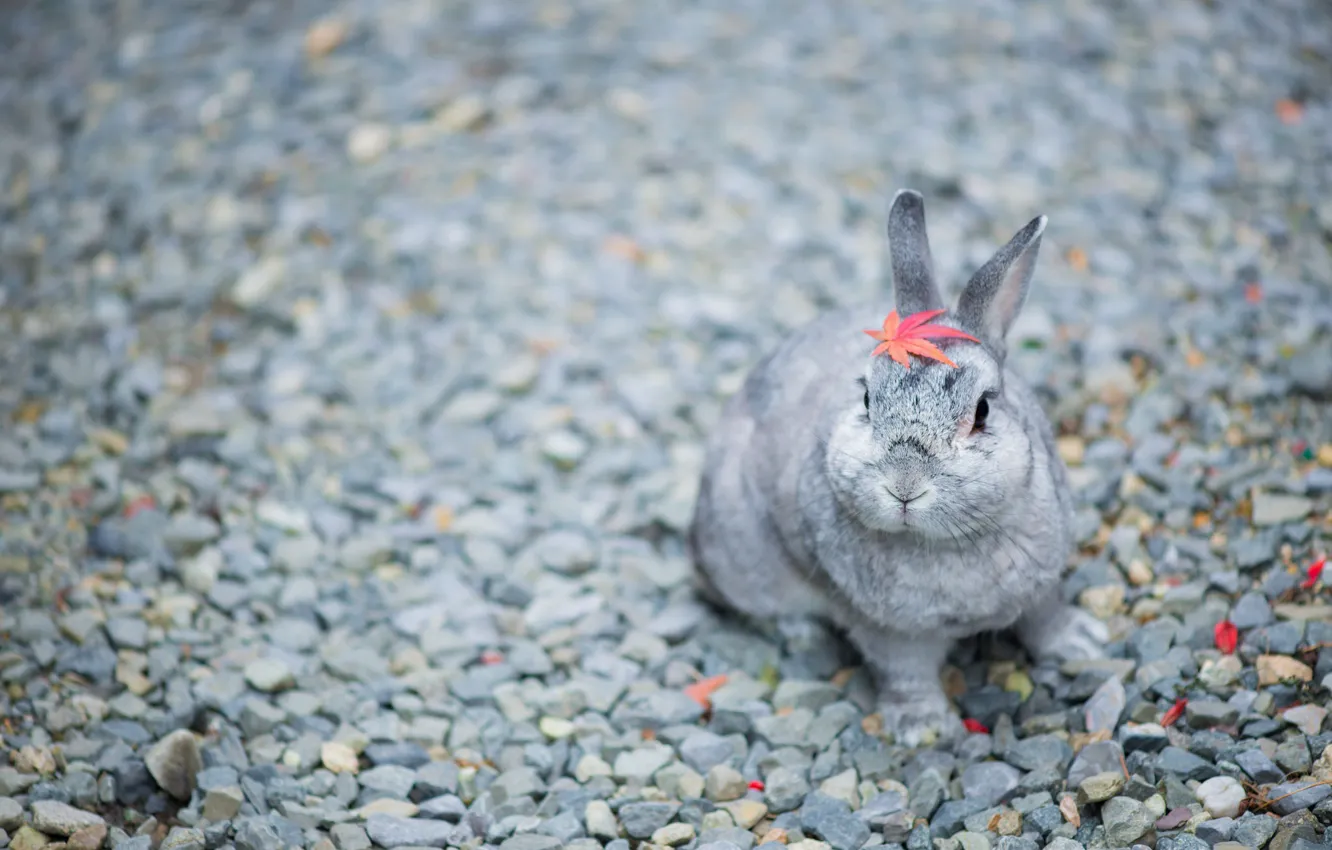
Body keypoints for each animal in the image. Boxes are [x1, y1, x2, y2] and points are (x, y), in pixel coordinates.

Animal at [688, 189, 1107, 746]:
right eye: (867, 399)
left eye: (982, 411)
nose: (904, 487)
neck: (945, 544)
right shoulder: (888, 631)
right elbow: (905, 672)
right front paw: (924, 729)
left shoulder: (1042, 586)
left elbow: (1046, 617)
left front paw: (1084, 642)